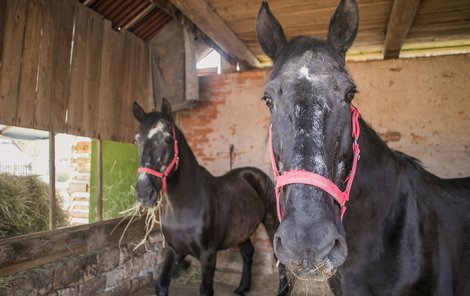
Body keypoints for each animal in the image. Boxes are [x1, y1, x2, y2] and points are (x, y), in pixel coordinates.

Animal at [130, 100, 288, 296]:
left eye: (167, 139)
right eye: (137, 140)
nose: (144, 192)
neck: (184, 207)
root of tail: (255, 174)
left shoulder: (208, 254)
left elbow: (205, 290)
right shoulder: (173, 250)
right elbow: (161, 283)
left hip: (271, 219)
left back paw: (282, 290)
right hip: (241, 230)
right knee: (247, 252)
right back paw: (242, 287)